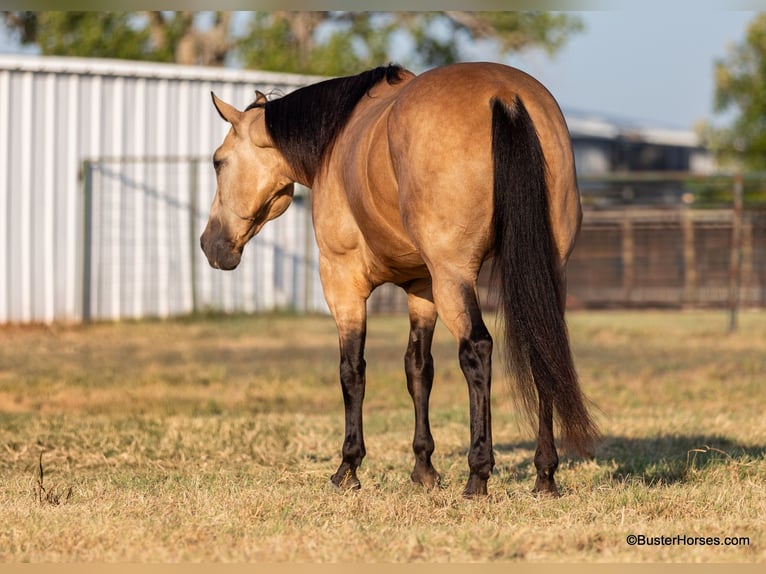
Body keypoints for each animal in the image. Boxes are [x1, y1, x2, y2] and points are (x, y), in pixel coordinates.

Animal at [200, 62, 599, 497]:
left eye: (218, 161)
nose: (209, 244)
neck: (336, 140)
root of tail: (506, 95)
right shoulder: (421, 288)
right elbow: (418, 369)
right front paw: (424, 468)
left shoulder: (343, 283)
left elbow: (352, 370)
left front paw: (348, 468)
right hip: (546, 272)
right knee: (542, 349)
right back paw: (545, 475)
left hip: (454, 277)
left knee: (477, 351)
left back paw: (478, 474)